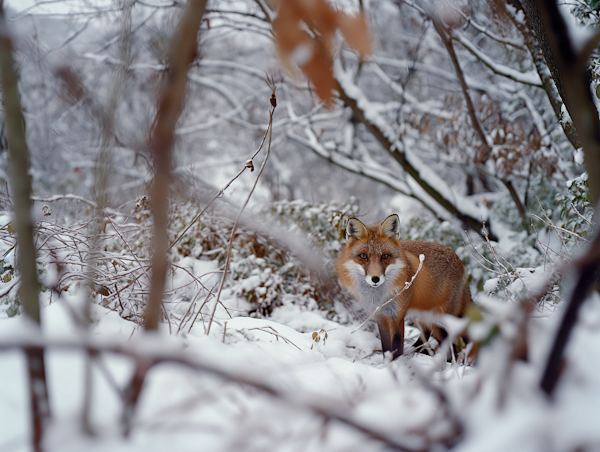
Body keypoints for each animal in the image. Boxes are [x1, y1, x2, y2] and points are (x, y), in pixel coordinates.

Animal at [336, 215, 472, 360]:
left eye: (385, 256)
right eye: (363, 256)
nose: (375, 279)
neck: (380, 297)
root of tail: (460, 262)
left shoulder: (397, 316)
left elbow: (396, 346)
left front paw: (396, 363)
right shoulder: (381, 316)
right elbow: (386, 347)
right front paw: (387, 363)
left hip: (440, 319)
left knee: (453, 345)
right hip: (422, 316)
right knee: (427, 333)